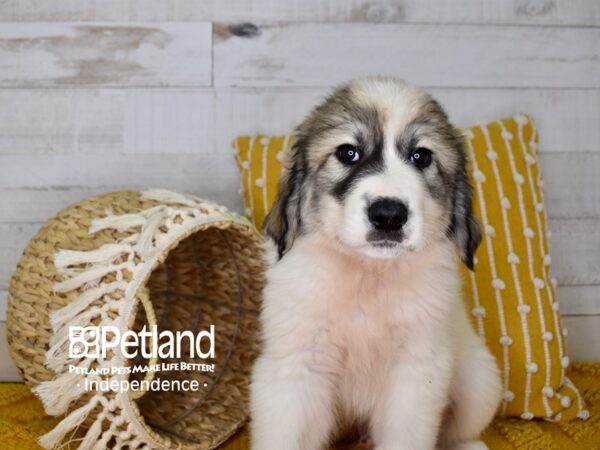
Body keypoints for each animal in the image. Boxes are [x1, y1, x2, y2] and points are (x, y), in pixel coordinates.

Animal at [248, 77, 502, 450]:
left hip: (480, 384)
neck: (367, 275)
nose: (388, 215)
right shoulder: (296, 368)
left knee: (460, 430)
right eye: (347, 153)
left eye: (421, 156)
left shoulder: (416, 374)